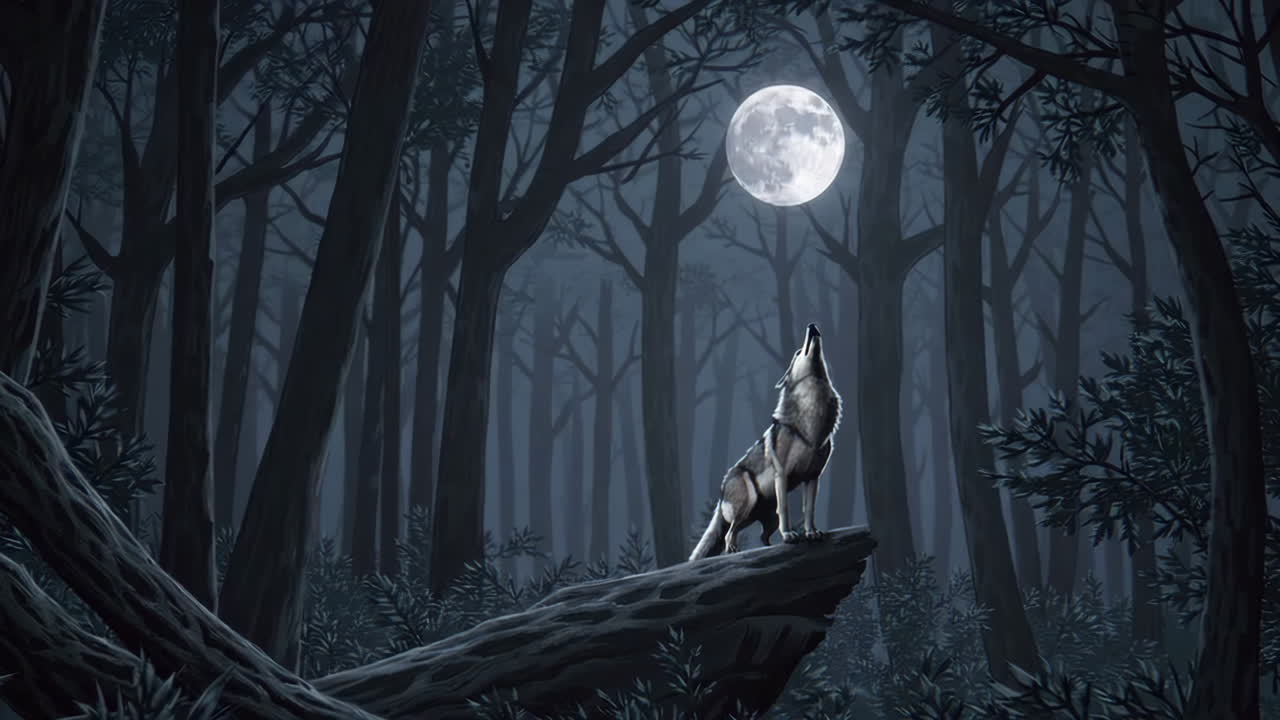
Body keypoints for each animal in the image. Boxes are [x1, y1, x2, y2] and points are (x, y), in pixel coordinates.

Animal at [689, 323, 842, 561]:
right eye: (798, 352)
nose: (812, 326)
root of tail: (722, 491)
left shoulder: (813, 477)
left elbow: (809, 510)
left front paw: (811, 533)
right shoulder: (783, 474)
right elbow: (786, 509)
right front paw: (789, 535)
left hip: (762, 517)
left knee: (760, 536)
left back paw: (767, 549)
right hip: (748, 504)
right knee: (729, 533)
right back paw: (734, 550)